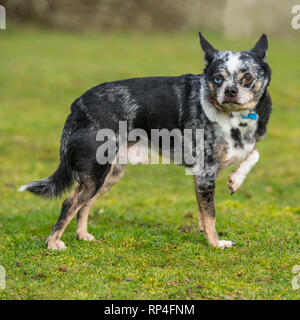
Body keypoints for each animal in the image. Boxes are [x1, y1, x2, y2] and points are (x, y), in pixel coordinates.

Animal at [19, 33, 272, 251]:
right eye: (218, 79)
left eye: (247, 78)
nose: (230, 91)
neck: (235, 118)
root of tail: (77, 105)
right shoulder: (205, 171)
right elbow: (210, 214)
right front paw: (216, 243)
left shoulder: (204, 174)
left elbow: (253, 154)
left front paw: (235, 180)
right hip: (95, 174)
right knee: (69, 203)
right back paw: (53, 242)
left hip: (109, 174)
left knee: (85, 204)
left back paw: (82, 234)